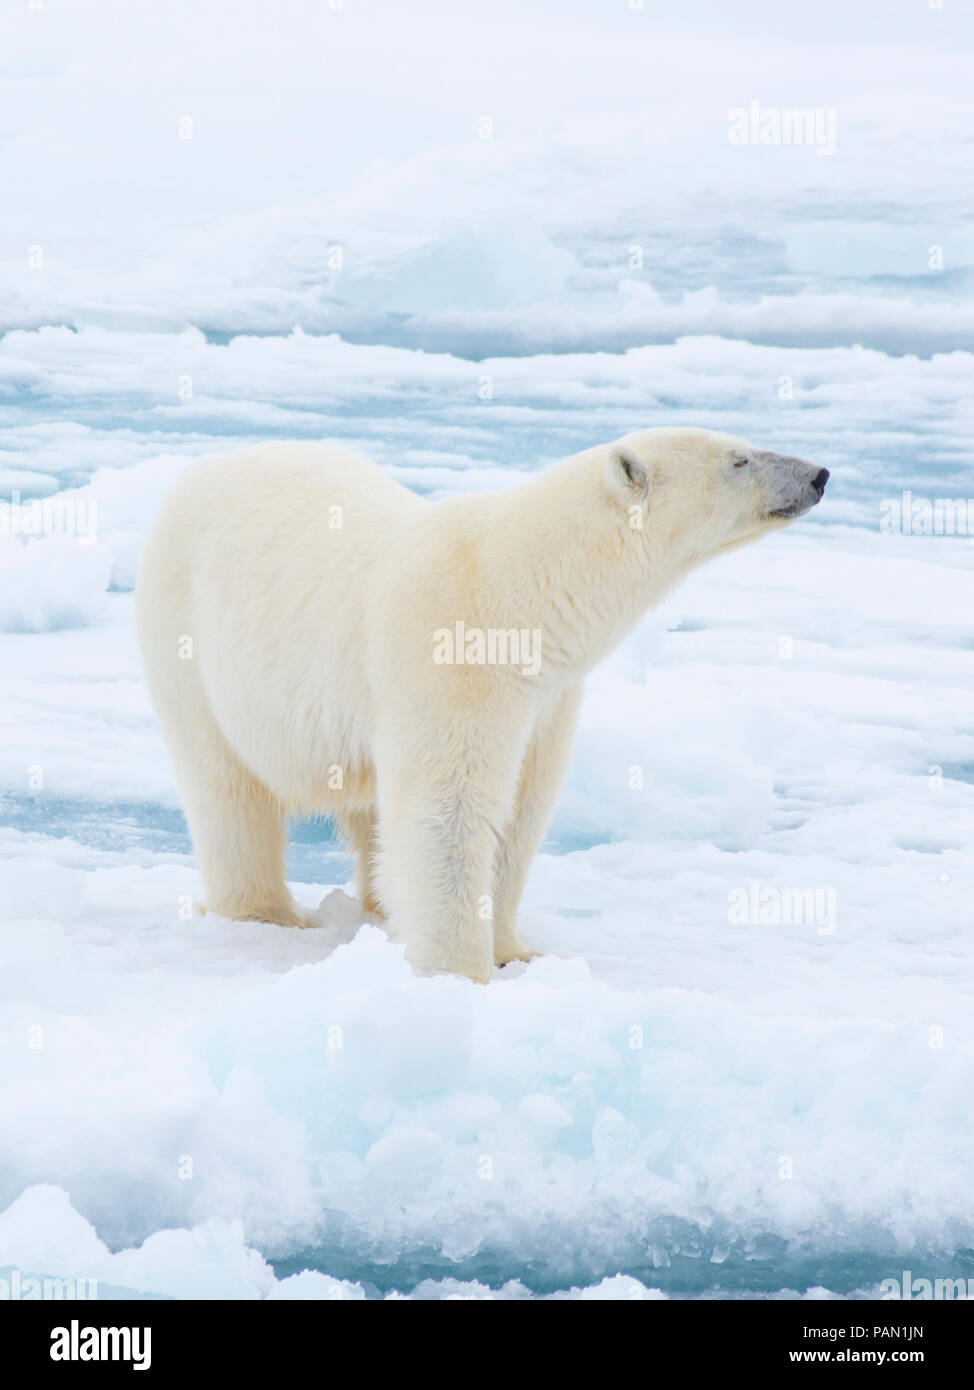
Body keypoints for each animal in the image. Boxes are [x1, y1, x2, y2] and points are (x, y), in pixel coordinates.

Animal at [134, 422, 822, 978]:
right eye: (739, 459)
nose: (818, 475)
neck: (520, 596)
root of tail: (205, 468)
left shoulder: (547, 695)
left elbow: (519, 810)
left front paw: (517, 951)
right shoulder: (454, 659)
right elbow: (452, 809)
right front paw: (462, 974)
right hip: (189, 639)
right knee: (227, 789)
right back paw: (267, 913)